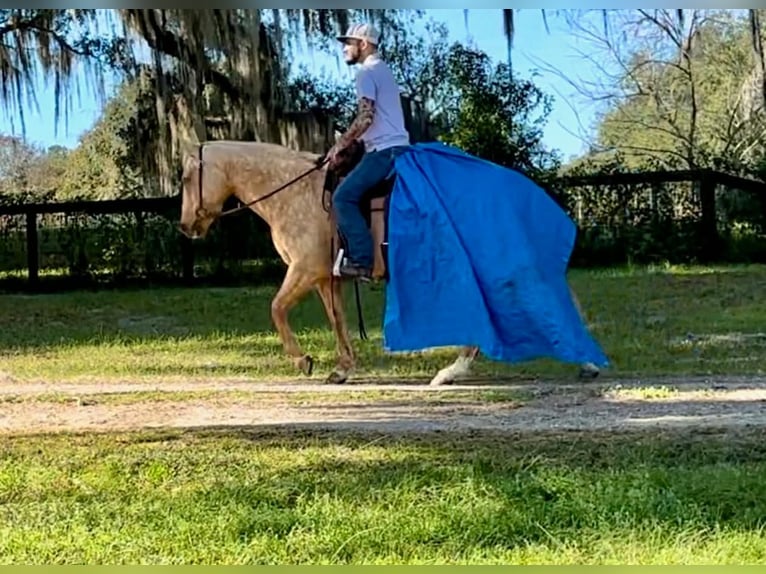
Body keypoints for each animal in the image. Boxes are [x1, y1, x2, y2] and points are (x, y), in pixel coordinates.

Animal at [177, 139, 601, 385]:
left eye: (183, 178)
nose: (185, 226)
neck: (294, 191)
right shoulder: (325, 279)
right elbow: (338, 321)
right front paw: (342, 367)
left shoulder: (304, 269)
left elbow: (277, 308)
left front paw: (303, 361)